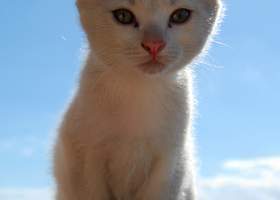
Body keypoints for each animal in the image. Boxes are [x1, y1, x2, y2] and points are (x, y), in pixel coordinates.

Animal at [53, 0, 223, 200]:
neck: (140, 88)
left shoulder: (170, 165)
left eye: (180, 15)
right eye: (123, 16)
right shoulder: (83, 161)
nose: (154, 45)